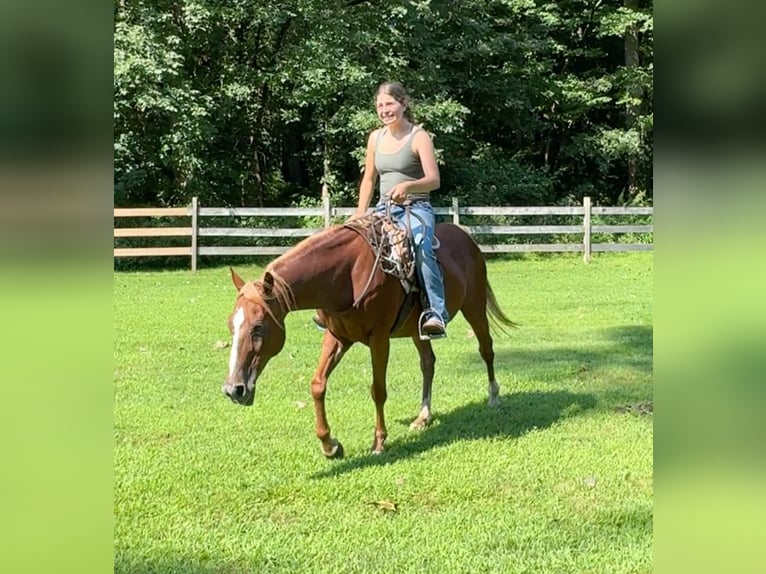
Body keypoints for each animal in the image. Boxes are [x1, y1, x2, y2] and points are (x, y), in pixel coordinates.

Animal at [225, 219, 520, 460]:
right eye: (231, 325)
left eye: (258, 328)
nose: (233, 390)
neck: (345, 275)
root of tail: (466, 238)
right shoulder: (337, 337)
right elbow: (318, 385)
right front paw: (330, 445)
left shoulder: (379, 339)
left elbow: (378, 390)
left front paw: (378, 442)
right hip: (420, 329)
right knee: (428, 363)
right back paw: (423, 417)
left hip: (475, 307)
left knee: (486, 349)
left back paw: (494, 397)